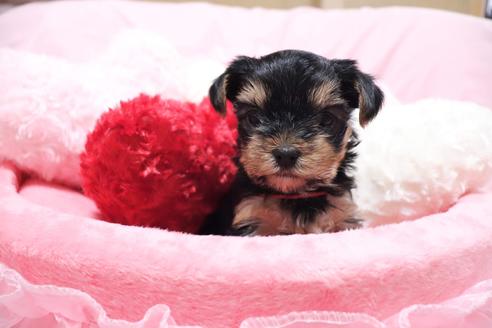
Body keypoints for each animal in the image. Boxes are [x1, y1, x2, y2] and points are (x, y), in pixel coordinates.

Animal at [198, 50, 382, 236]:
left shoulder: (343, 213)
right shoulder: (249, 215)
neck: (296, 195)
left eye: (326, 120)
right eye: (253, 118)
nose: (285, 154)